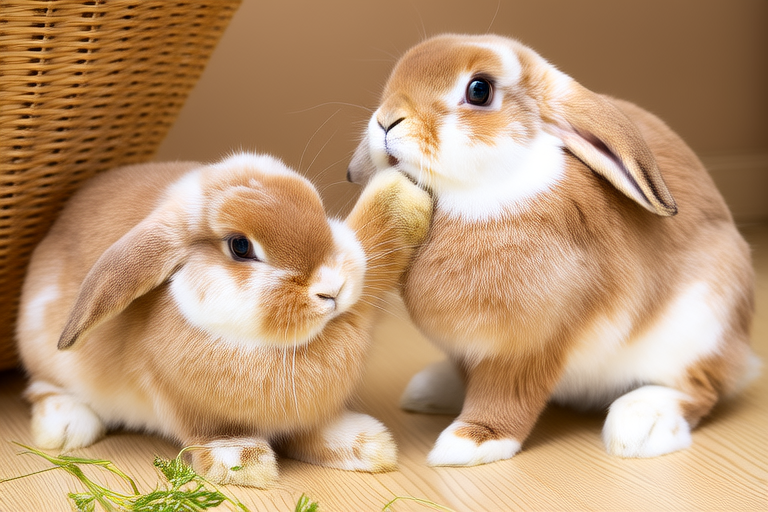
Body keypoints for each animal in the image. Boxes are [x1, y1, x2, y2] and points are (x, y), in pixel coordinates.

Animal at [16, 152, 432, 487]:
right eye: (240, 246)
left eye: (318, 209)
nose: (333, 288)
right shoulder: (191, 408)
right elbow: (215, 435)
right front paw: (244, 464)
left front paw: (365, 444)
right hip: (45, 351)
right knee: (42, 386)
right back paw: (66, 429)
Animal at [347, 33, 759, 467]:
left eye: (479, 90)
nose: (387, 121)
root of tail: (741, 353)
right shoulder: (470, 348)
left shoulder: (530, 346)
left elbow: (506, 396)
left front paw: (468, 443)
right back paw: (428, 390)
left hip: (699, 327)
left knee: (702, 387)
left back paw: (641, 425)